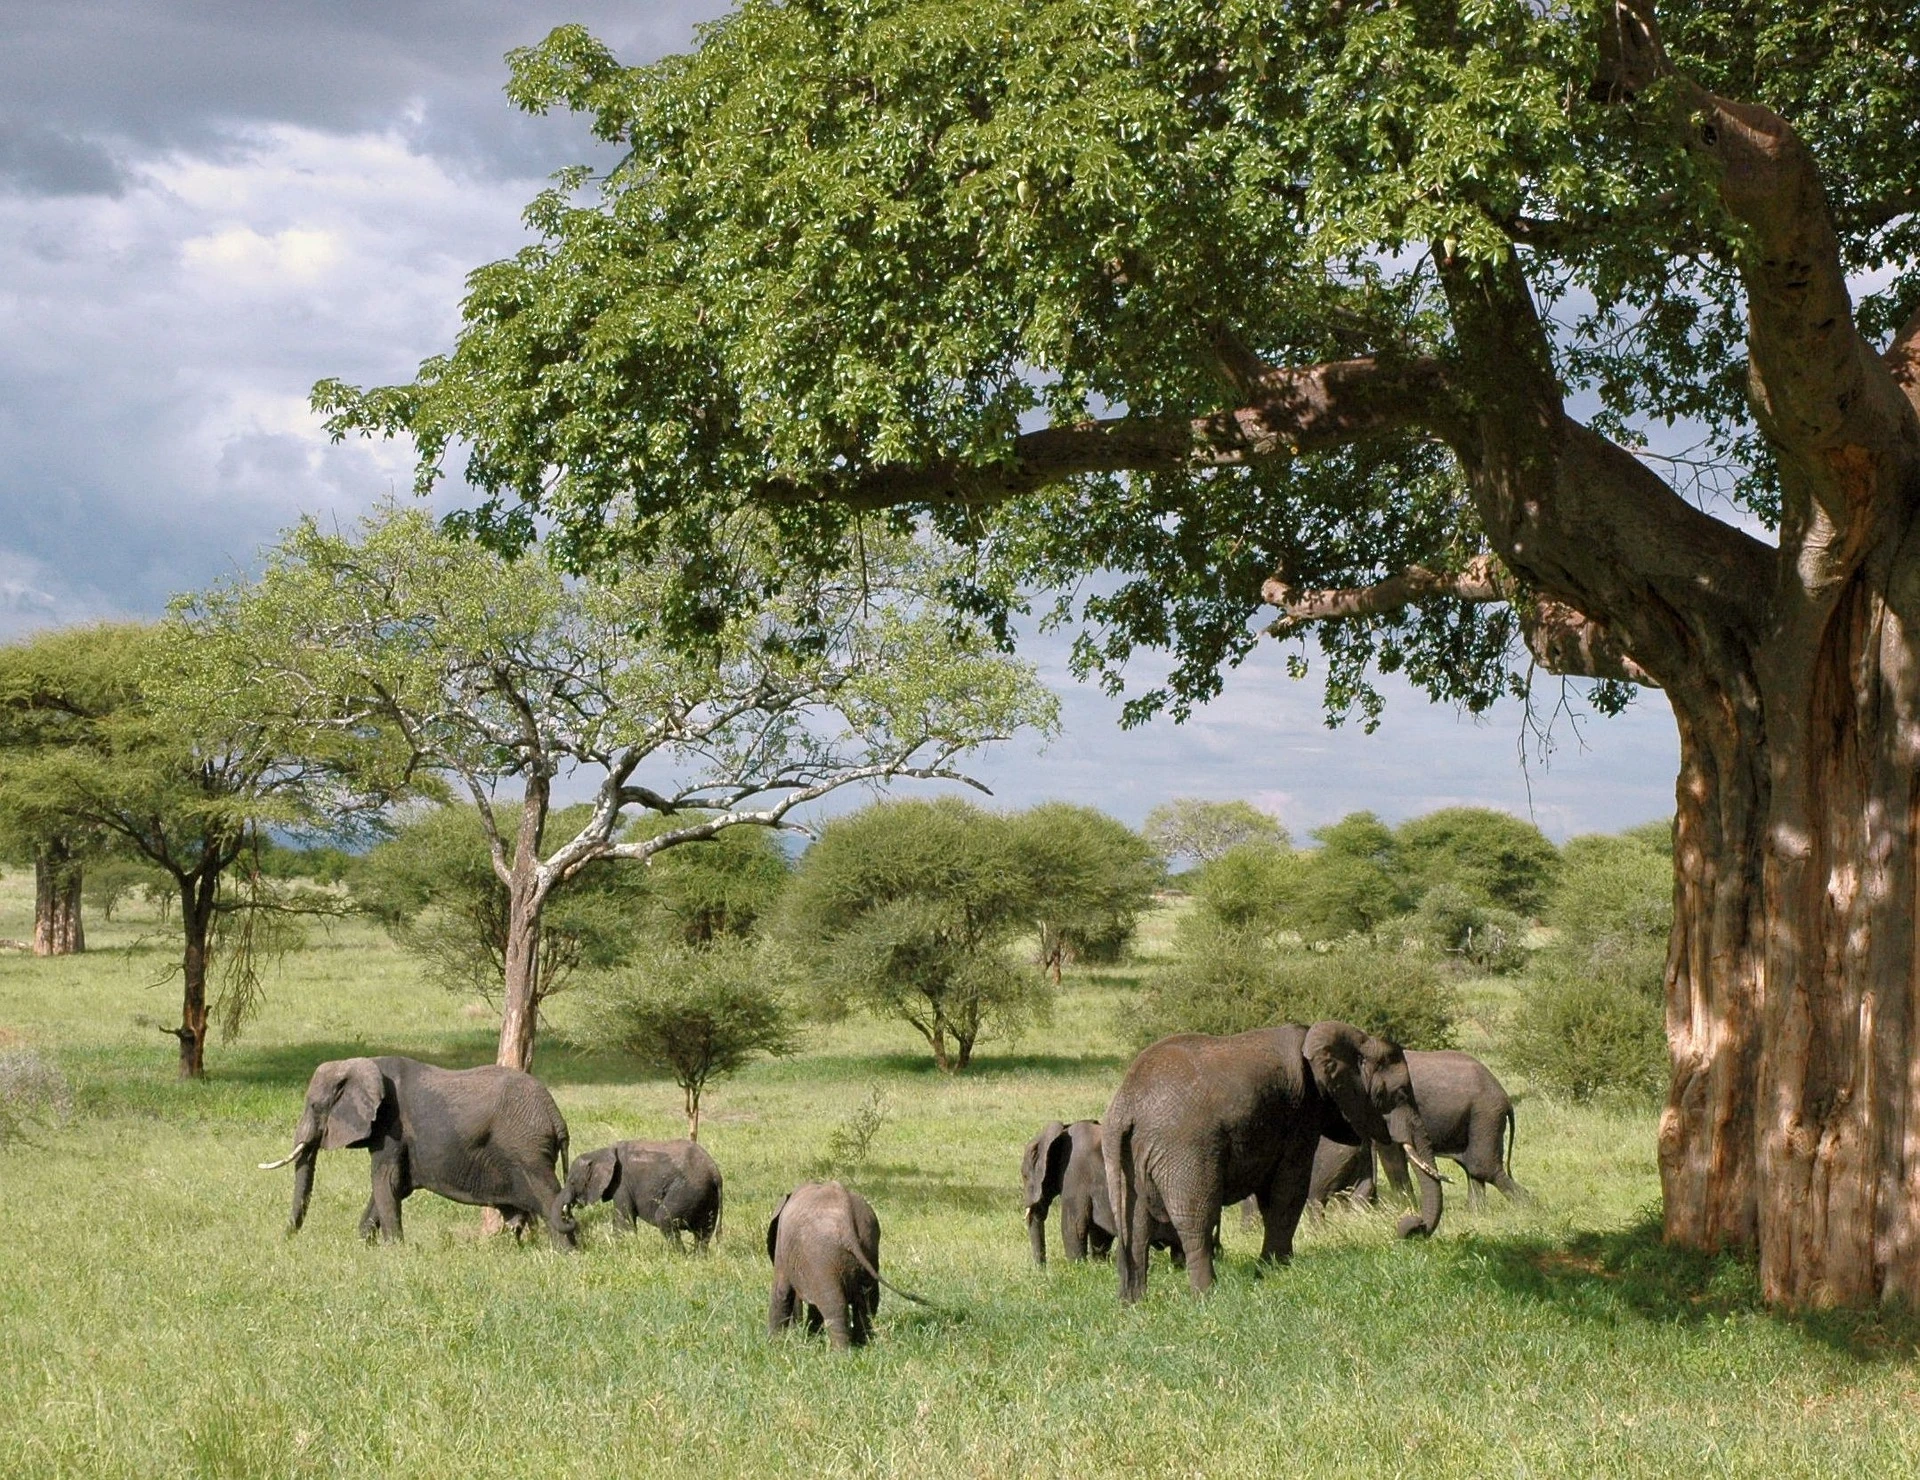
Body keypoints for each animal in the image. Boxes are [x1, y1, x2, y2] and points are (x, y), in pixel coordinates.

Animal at [261, 1051, 576, 1251]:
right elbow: (393, 1186)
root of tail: (555, 1116)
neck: (361, 1063)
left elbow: (385, 1181)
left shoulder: (391, 1126)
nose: (285, 1240)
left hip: (527, 1149)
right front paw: (364, 1245)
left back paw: (566, 1253)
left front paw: (393, 1251)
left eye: (315, 1106)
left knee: (548, 1196)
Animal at [568, 1144, 725, 1243]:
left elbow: (624, 1222)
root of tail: (715, 1173)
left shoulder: (622, 1184)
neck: (602, 1153)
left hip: (688, 1191)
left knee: (664, 1219)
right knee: (704, 1232)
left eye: (572, 1182)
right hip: (707, 1195)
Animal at [1105, 1021, 1436, 1297]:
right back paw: (1207, 1295)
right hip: (1186, 1149)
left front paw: (1271, 1270)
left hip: (1128, 1156)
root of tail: (1126, 1106)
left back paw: (1134, 1302)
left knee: (1136, 1225)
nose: (1411, 1227)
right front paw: (1274, 1272)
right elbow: (1288, 1191)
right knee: (1196, 1217)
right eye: (1400, 1094)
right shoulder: (1301, 1113)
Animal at [1374, 1044, 1520, 1213]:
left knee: (1483, 1168)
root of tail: (1505, 1096)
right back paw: (1477, 1213)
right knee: (1473, 1168)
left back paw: (1527, 1207)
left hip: (1486, 1114)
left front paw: (1402, 1209)